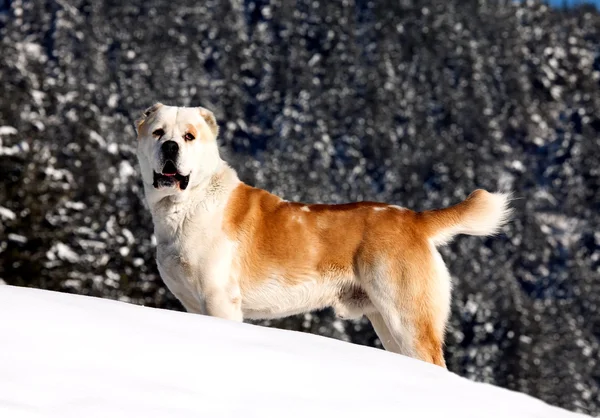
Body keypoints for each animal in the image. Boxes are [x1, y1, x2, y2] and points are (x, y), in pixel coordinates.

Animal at [136, 103, 510, 368]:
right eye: (158, 133)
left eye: (189, 136)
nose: (170, 146)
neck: (186, 204)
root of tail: (414, 220)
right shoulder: (190, 302)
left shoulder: (219, 300)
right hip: (387, 323)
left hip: (408, 318)